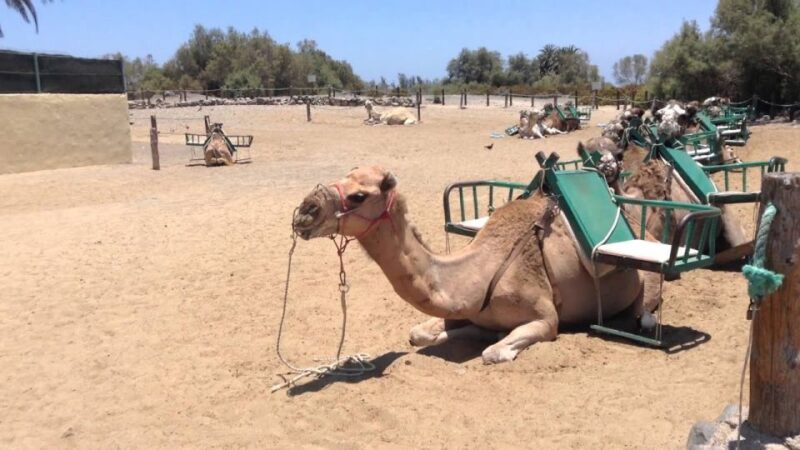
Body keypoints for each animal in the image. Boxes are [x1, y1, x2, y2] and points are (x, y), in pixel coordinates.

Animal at [293, 166, 663, 364]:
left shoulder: (546, 317)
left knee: (645, 309)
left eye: (359, 195)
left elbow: (493, 352)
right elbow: (418, 334)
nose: (304, 212)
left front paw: (493, 339)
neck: (481, 272)